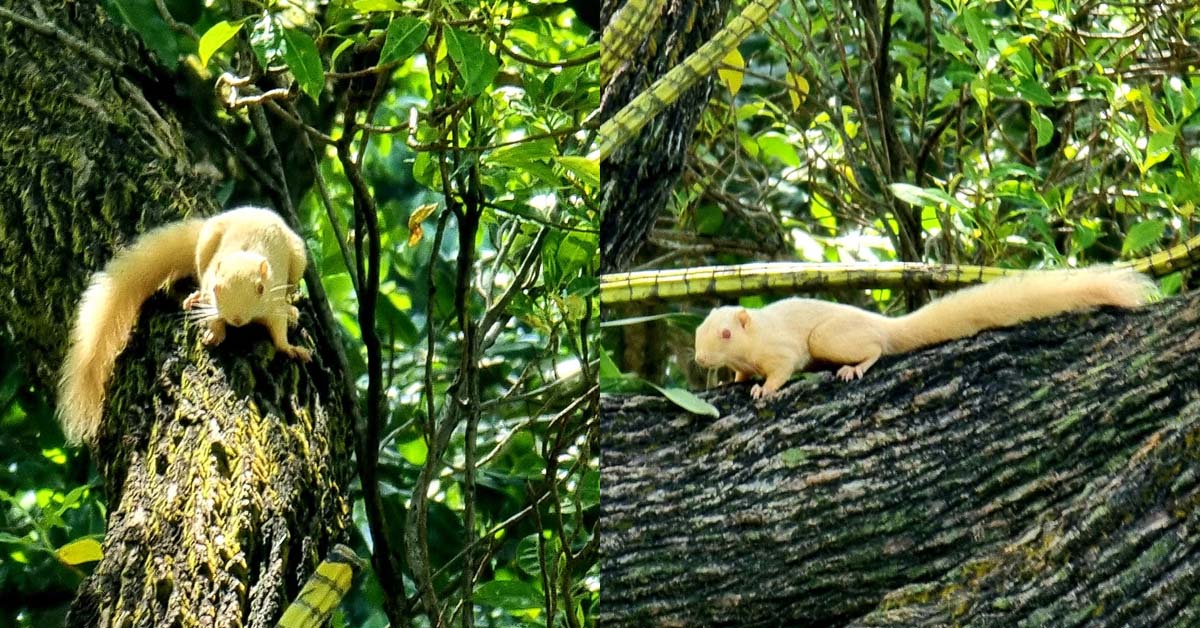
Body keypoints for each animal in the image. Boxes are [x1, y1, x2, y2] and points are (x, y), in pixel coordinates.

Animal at [57, 206, 312, 445]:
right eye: (217, 288)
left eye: (260, 288)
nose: (236, 320)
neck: (244, 254)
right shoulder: (210, 288)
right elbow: (211, 312)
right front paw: (214, 332)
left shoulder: (273, 298)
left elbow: (279, 331)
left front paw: (292, 349)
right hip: (206, 243)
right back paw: (194, 297)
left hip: (298, 258)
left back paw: (292, 311)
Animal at [694, 267, 1155, 400]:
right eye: (698, 331)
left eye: (726, 335)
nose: (698, 360)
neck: (754, 337)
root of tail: (883, 322)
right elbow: (741, 373)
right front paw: (730, 381)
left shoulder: (781, 348)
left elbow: (781, 369)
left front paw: (762, 390)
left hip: (830, 338)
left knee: (875, 348)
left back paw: (853, 368)